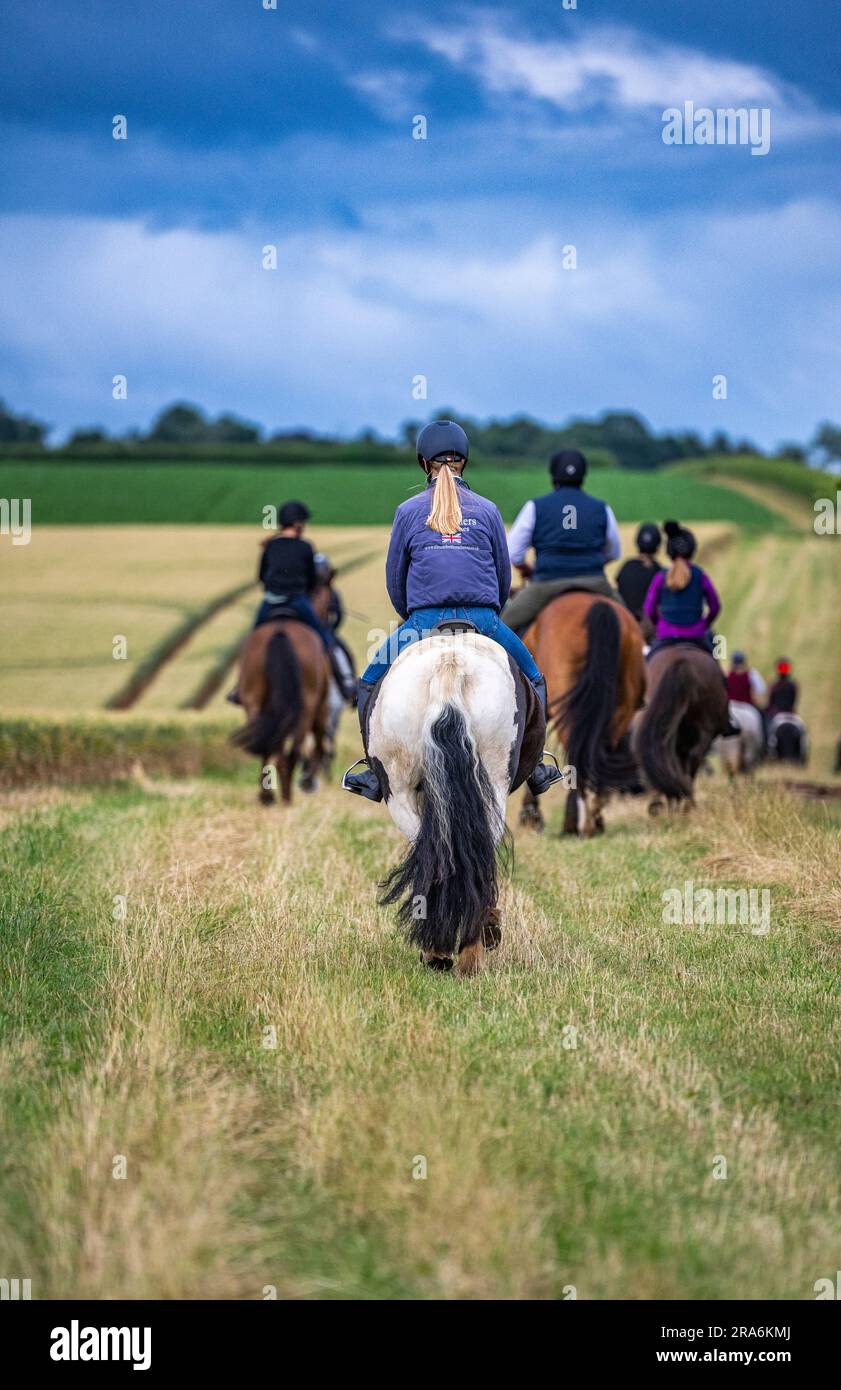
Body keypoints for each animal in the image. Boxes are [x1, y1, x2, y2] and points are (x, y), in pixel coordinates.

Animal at [236, 619, 330, 806]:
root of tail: (280, 630)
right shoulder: (321, 709)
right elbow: (319, 748)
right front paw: (308, 781)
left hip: (256, 706)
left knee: (273, 748)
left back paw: (273, 795)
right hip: (308, 711)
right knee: (294, 752)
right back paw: (285, 795)